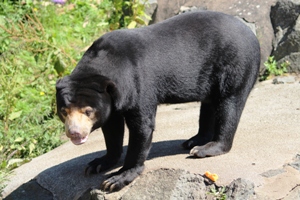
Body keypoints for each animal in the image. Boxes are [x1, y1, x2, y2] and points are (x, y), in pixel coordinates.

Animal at [56, 10, 260, 192]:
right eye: (64, 112)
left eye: (88, 111)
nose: (74, 133)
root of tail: (250, 32)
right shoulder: (112, 102)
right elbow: (112, 128)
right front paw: (98, 163)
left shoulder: (138, 84)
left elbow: (141, 128)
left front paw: (117, 178)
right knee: (209, 105)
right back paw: (194, 141)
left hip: (235, 64)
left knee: (229, 104)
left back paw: (205, 148)